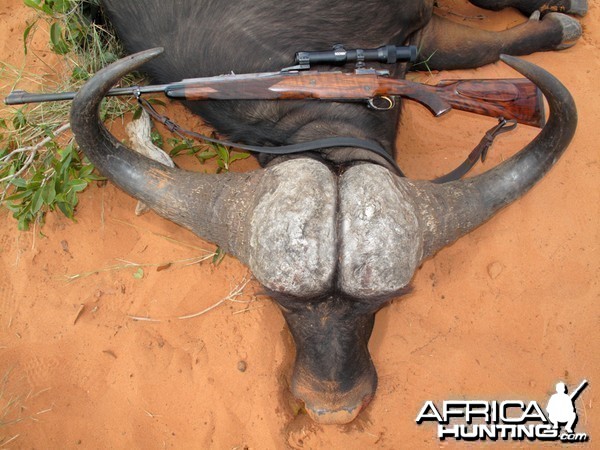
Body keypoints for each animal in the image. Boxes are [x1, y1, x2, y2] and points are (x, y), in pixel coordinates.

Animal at [69, 0, 580, 424]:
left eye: (379, 304)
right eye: (282, 302)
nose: (334, 410)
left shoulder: (417, 29)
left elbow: (482, 46)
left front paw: (557, 28)